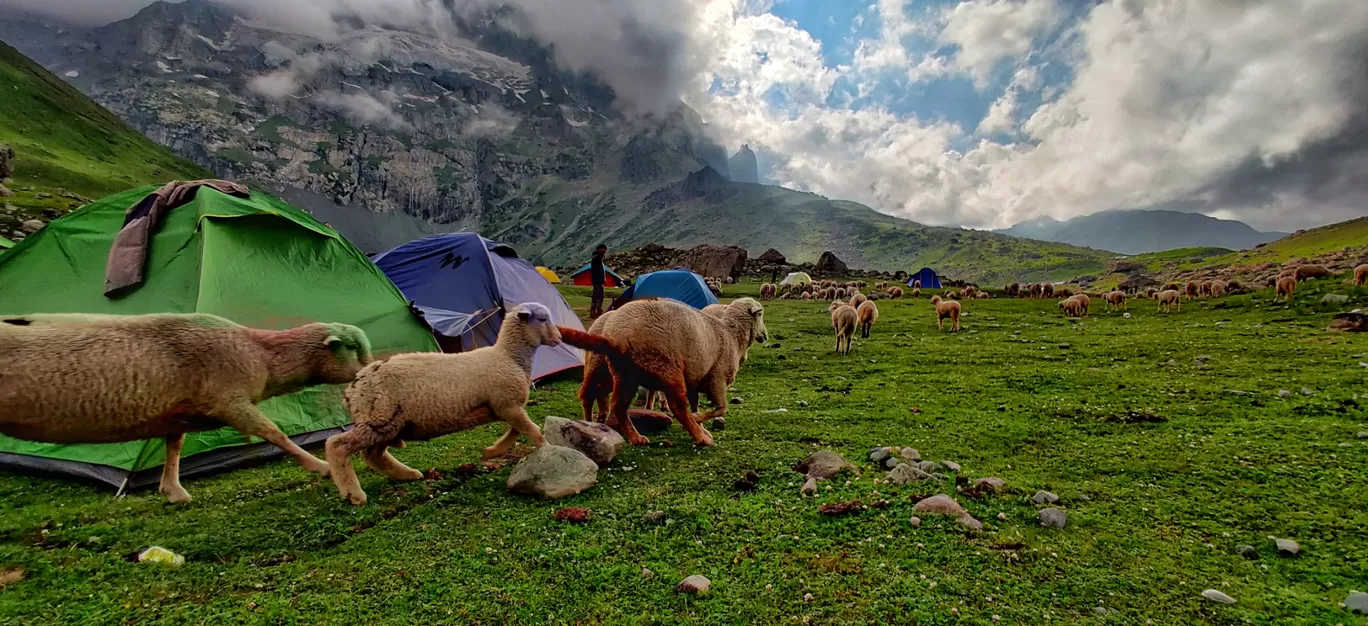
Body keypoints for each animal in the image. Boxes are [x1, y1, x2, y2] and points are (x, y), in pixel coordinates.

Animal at [1, 313, 374, 502]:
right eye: (353, 348)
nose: (372, 371)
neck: (262, 354)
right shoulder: (229, 401)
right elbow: (274, 433)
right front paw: (320, 466)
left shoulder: (179, 411)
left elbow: (174, 446)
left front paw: (173, 490)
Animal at [326, 304, 560, 508]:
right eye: (542, 319)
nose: (558, 338)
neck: (508, 357)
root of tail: (352, 389)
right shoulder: (507, 404)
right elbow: (532, 431)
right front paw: (549, 453)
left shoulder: (505, 407)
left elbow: (518, 430)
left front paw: (493, 451)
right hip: (379, 419)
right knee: (337, 445)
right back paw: (354, 494)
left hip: (389, 425)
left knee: (373, 455)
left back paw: (408, 475)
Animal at [558, 296, 771, 445]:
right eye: (760, 314)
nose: (765, 336)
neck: (732, 336)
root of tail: (613, 336)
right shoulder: (716, 378)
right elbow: (721, 408)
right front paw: (699, 424)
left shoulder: (695, 379)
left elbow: (697, 404)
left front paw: (701, 425)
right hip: (665, 366)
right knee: (677, 407)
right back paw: (701, 439)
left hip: (624, 373)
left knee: (613, 403)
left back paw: (632, 437)